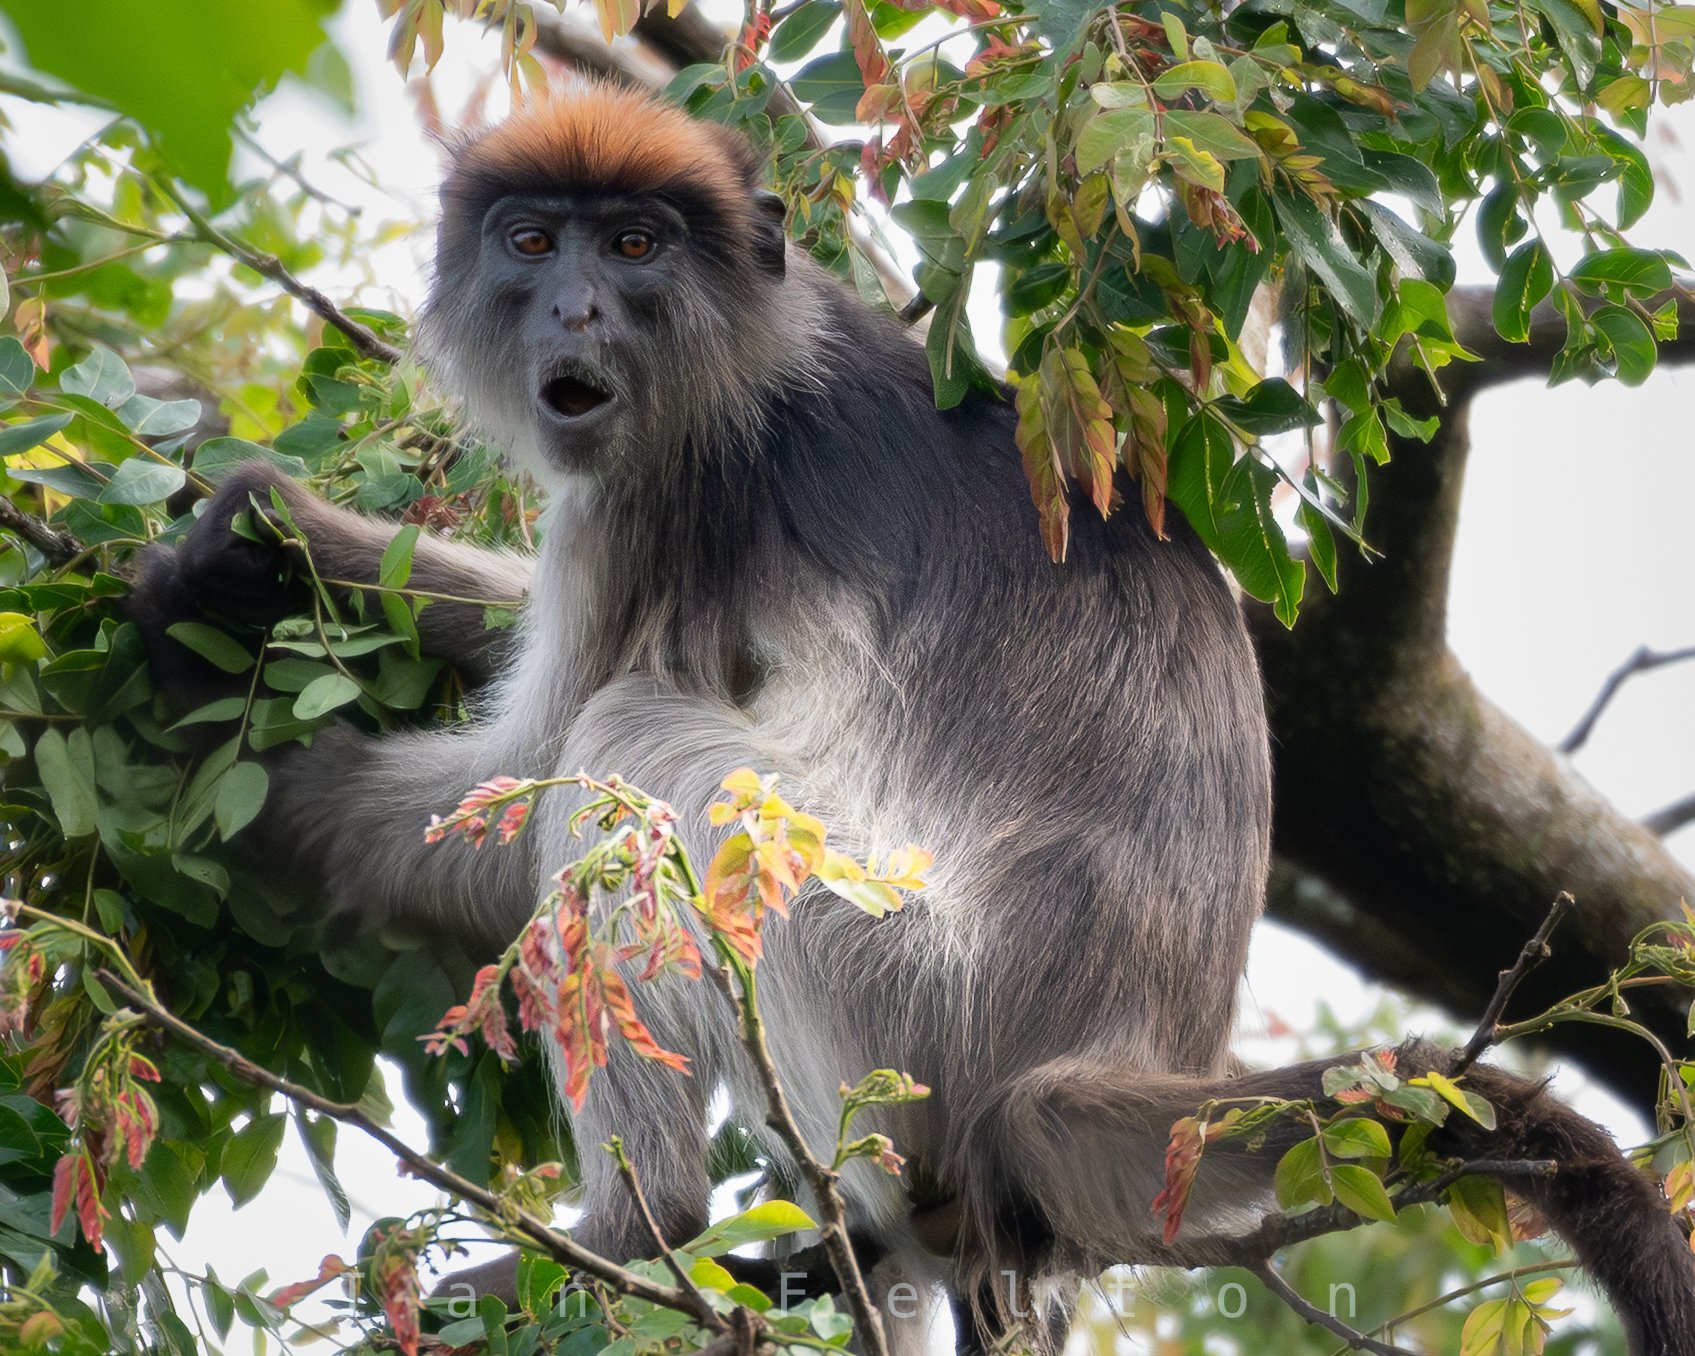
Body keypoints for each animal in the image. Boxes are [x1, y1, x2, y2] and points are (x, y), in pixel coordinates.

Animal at [124, 87, 1695, 1355]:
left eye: (631, 248)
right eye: (531, 242)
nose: (573, 314)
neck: (761, 341)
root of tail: (1088, 1057)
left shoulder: (663, 482)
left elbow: (516, 788)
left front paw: (223, 774)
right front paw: (267, 539)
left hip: (897, 994)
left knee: (629, 746)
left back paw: (644, 1231)